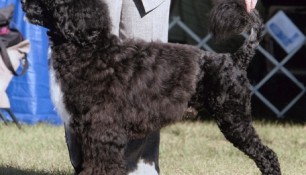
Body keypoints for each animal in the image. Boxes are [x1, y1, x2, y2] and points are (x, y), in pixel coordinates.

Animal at [20, 0, 280, 174]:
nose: (24, 2)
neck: (90, 49)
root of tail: (234, 59)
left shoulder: (103, 131)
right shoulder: (86, 130)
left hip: (234, 120)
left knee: (268, 155)